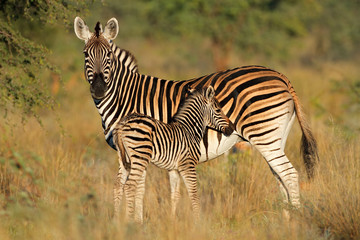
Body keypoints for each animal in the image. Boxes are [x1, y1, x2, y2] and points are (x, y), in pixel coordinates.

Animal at [114, 86, 235, 223]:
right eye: (218, 110)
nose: (232, 128)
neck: (190, 131)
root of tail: (122, 123)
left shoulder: (173, 169)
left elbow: (175, 195)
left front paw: (172, 220)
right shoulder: (188, 164)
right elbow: (193, 193)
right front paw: (197, 221)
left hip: (124, 158)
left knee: (118, 186)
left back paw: (116, 220)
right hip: (140, 156)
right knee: (129, 186)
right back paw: (129, 221)